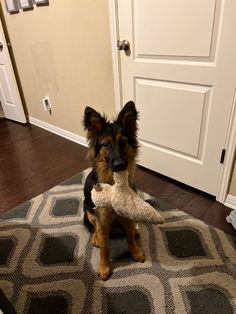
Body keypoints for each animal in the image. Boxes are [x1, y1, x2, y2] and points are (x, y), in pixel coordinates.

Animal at [83, 100, 146, 280]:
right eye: (106, 145)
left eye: (123, 142)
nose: (119, 165)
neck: (114, 184)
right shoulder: (102, 217)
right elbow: (105, 245)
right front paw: (105, 266)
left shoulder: (127, 212)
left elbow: (129, 236)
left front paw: (135, 251)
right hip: (88, 210)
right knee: (93, 227)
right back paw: (96, 237)